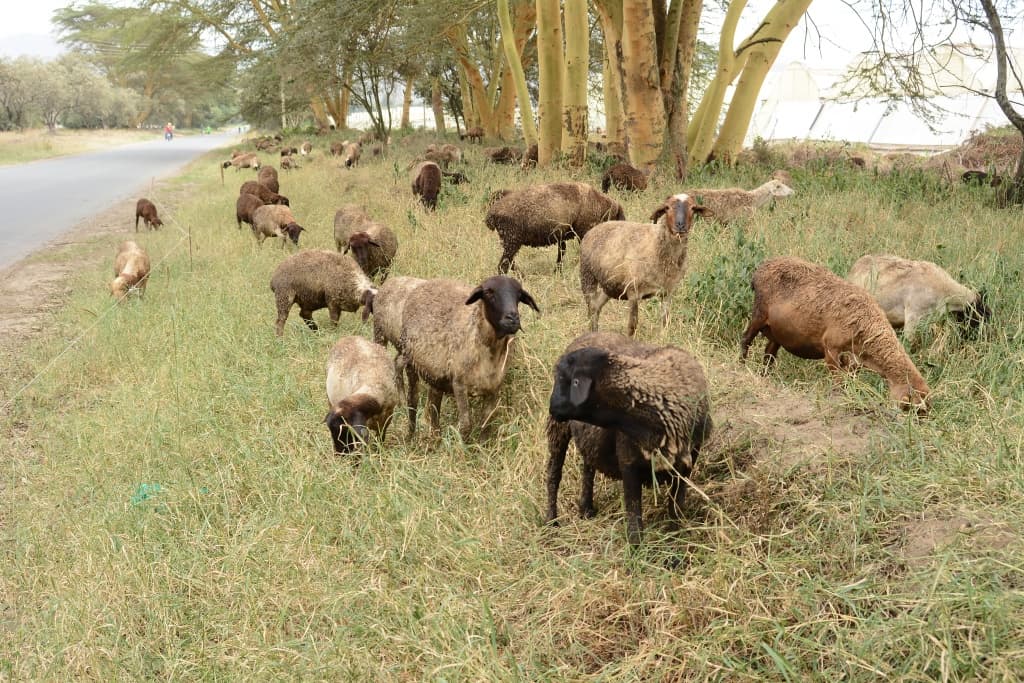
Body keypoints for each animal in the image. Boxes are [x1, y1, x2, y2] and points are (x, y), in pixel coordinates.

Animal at [398, 275, 539, 438]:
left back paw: (436, 438)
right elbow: (466, 425)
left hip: (436, 375)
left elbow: (486, 424)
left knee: (434, 407)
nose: (513, 318)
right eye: (488, 292)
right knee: (412, 402)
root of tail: (424, 284)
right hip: (410, 363)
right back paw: (410, 436)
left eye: (519, 295)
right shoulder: (459, 384)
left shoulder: (494, 387)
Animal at [485, 181, 626, 274]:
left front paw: (557, 271)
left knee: (508, 262)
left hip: (510, 242)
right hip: (512, 241)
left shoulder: (561, 236)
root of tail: (492, 212)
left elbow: (561, 253)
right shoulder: (581, 234)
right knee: (503, 265)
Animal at [546, 330, 712, 545]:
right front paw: (636, 550)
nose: (551, 406)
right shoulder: (629, 463)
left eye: (563, 377)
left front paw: (675, 542)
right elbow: (634, 520)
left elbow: (675, 506)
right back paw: (551, 521)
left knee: (588, 467)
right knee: (554, 475)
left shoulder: (687, 463)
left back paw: (586, 509)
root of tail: (589, 332)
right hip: (558, 429)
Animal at [579, 194, 707, 337]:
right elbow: (632, 325)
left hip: (610, 284)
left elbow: (665, 322)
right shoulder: (633, 291)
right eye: (667, 208)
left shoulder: (668, 291)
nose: (680, 226)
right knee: (591, 308)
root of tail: (594, 229)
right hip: (587, 274)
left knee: (596, 306)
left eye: (693, 208)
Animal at [740, 256, 931, 412]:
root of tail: (760, 269)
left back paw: (765, 376)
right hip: (759, 313)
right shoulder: (831, 348)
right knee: (745, 338)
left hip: (777, 331)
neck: (866, 323)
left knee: (769, 353)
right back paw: (742, 366)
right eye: (913, 408)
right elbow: (839, 382)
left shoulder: (854, 362)